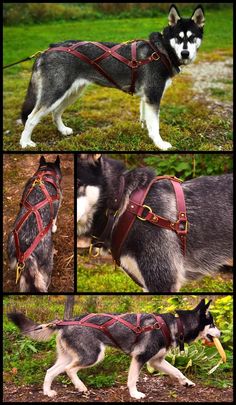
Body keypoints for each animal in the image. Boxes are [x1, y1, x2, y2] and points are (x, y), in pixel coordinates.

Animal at [7, 298, 221, 400]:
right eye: (212, 324)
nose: (221, 333)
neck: (174, 325)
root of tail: (63, 322)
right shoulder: (140, 358)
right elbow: (132, 380)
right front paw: (135, 394)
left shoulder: (156, 361)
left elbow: (177, 371)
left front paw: (187, 382)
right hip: (93, 355)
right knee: (69, 370)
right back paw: (81, 387)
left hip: (70, 356)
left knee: (50, 371)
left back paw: (48, 392)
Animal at [19, 3, 205, 149]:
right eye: (178, 38)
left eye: (192, 37)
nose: (185, 53)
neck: (162, 50)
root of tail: (47, 50)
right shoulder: (153, 95)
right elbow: (155, 125)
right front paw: (160, 144)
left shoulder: (146, 97)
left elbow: (146, 120)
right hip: (55, 92)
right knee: (31, 118)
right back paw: (25, 142)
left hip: (72, 92)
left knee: (56, 112)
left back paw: (63, 130)